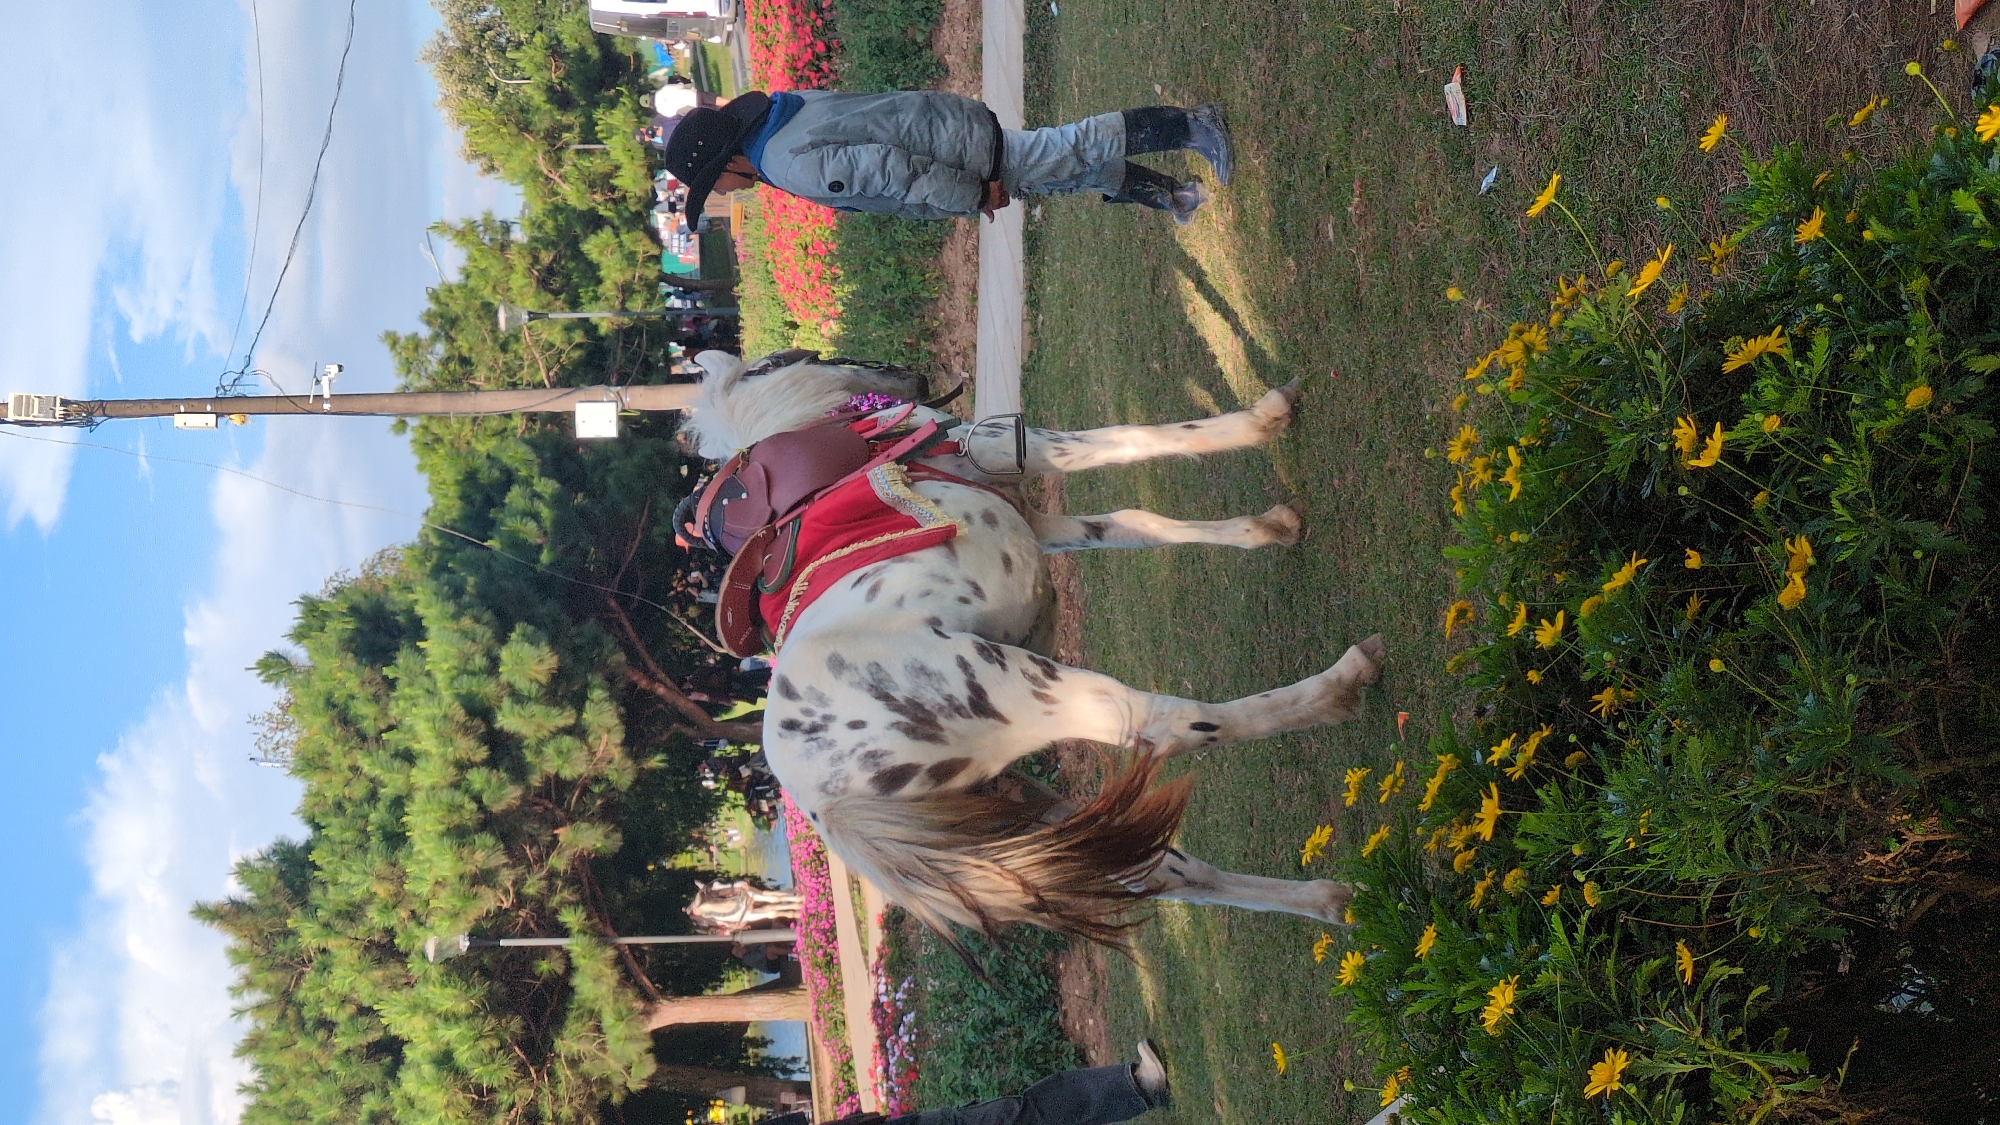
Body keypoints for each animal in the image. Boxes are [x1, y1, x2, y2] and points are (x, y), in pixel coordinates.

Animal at [677, 350, 1384, 947]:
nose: (911, 376)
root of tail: (828, 802)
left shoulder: (1039, 525)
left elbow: (1137, 524)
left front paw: (1265, 528)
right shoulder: (1010, 445)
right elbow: (1128, 440)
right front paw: (1265, 418)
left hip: (1024, 813)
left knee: (1169, 875)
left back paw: (1328, 899)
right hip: (1040, 689)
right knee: (1172, 726)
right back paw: (1341, 684)